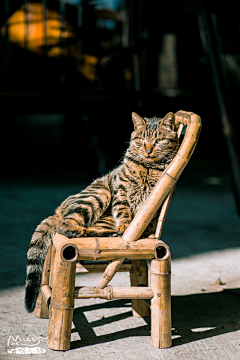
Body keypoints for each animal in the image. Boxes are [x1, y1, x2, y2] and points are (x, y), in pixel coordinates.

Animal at [25, 112, 179, 312]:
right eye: (141, 139)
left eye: (159, 140)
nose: (148, 149)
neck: (148, 167)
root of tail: (58, 211)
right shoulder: (120, 189)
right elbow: (123, 210)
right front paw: (126, 225)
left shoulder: (159, 198)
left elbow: (149, 219)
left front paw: (143, 233)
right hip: (99, 194)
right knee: (64, 225)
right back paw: (80, 230)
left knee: (88, 229)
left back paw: (109, 233)